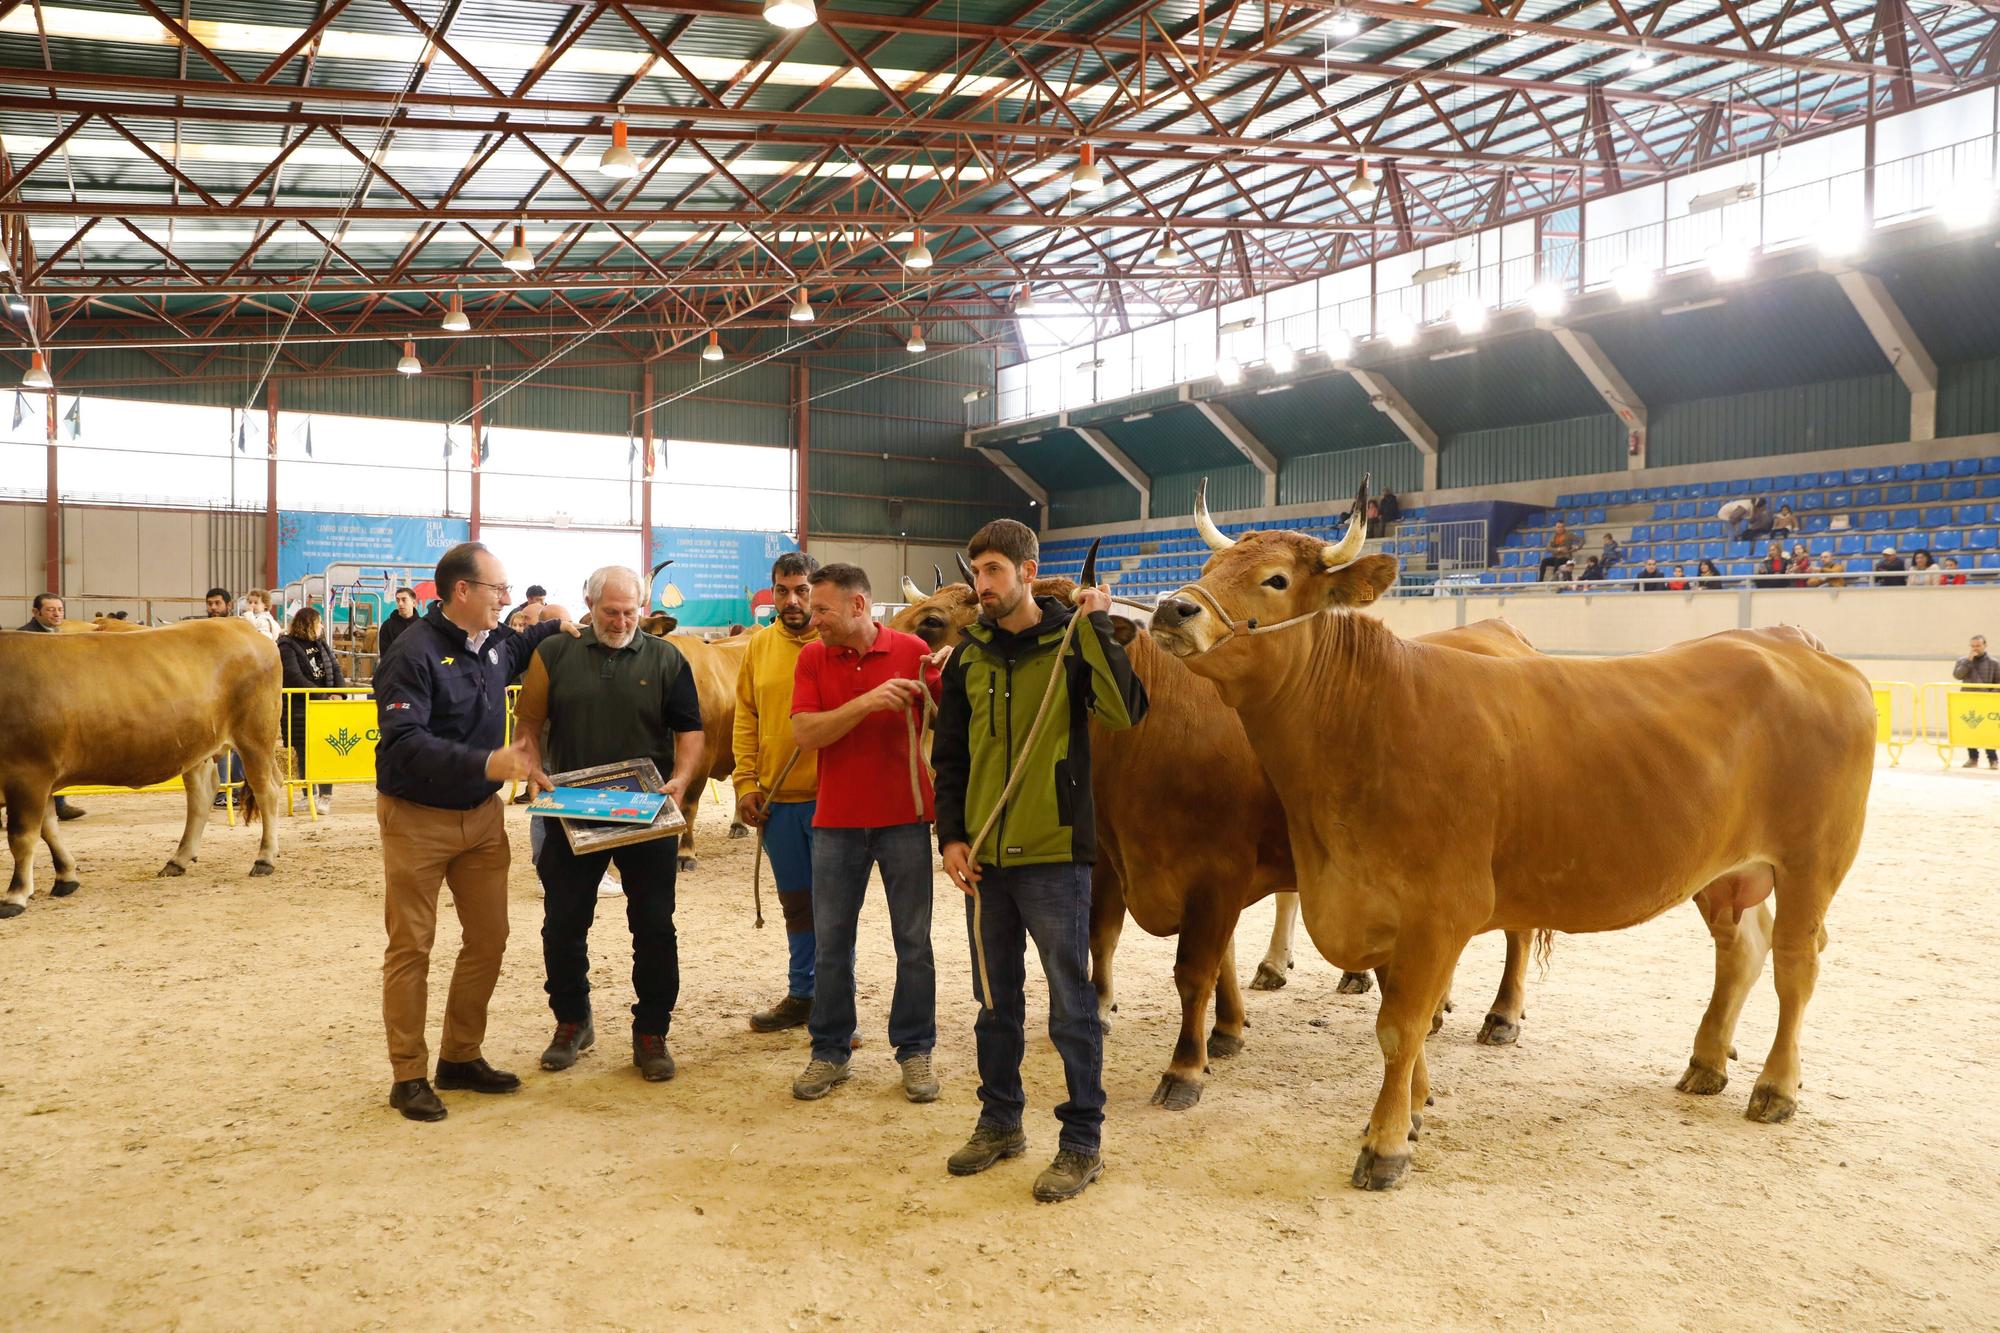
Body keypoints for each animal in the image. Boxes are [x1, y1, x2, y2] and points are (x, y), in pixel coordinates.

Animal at [1, 616, 286, 912]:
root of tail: (237, 622)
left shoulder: (28, 773)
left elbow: (23, 836)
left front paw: (15, 895)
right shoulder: (39, 778)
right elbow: (48, 829)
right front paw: (65, 877)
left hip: (255, 737)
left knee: (267, 789)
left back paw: (265, 857)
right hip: (199, 747)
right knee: (202, 794)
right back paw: (178, 860)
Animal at [900, 556, 1536, 1104]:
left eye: (934, 622)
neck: (1157, 729)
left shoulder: (1216, 869)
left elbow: (1194, 969)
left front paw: (1184, 1065)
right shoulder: (1115, 855)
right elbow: (1110, 938)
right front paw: (1220, 1030)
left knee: (1517, 932)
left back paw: (1499, 1014)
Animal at [1144, 480, 1872, 1184]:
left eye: (1274, 579)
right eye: (1205, 568)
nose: (1171, 608)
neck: (1366, 717)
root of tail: (1787, 641)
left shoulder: (1442, 905)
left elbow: (1400, 1025)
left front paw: (1386, 1144)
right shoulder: (1379, 902)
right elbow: (1405, 1019)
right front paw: (1413, 1109)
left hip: (1813, 862)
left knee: (1795, 964)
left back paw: (1775, 1087)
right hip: (1723, 869)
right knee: (1741, 948)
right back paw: (1707, 1061)